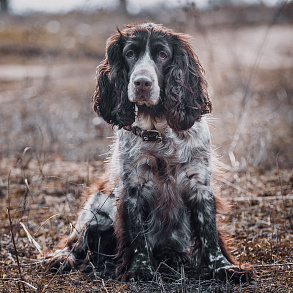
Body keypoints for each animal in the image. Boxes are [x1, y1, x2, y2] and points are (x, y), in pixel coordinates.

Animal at [44, 22, 250, 280]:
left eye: (163, 55)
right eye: (130, 53)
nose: (142, 83)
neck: (158, 132)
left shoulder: (200, 185)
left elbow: (209, 233)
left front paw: (223, 267)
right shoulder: (133, 188)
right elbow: (137, 234)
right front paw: (141, 269)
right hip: (95, 208)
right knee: (76, 239)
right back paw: (61, 258)